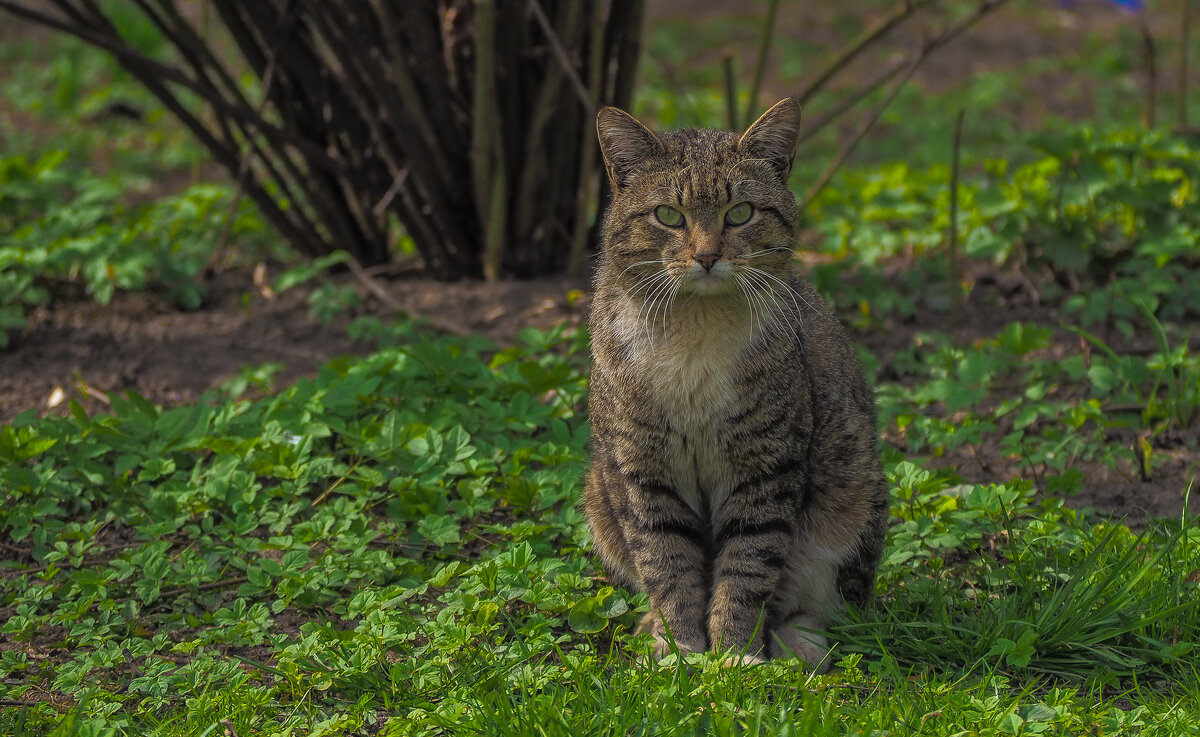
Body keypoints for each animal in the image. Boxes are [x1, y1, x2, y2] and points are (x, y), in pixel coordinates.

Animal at [585, 96, 888, 672]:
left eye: (740, 212)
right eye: (668, 215)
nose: (707, 256)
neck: (696, 332)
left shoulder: (767, 463)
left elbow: (748, 564)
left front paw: (732, 657)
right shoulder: (642, 467)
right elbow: (666, 562)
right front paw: (682, 653)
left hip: (852, 484)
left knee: (824, 602)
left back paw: (797, 645)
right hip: (599, 491)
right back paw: (652, 629)